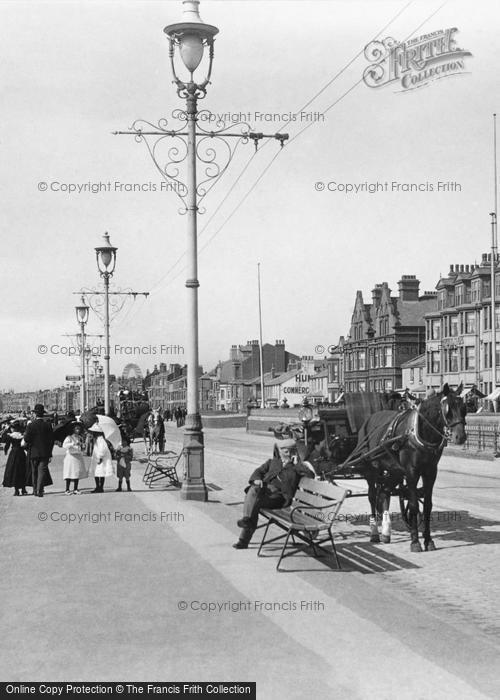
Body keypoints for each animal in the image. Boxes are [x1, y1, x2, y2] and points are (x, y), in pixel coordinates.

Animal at [356, 382, 464, 552]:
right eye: (448, 409)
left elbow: (427, 506)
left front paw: (428, 540)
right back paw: (374, 532)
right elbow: (413, 506)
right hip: (371, 469)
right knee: (372, 496)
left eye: (464, 407)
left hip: (394, 471)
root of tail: (368, 420)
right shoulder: (411, 472)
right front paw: (415, 541)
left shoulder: (430, 472)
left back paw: (385, 531)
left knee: (384, 492)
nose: (461, 437)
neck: (419, 433)